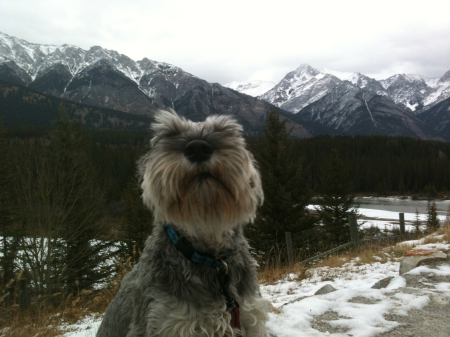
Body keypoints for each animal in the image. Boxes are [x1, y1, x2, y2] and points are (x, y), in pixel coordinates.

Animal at [96, 110, 268, 336]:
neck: (208, 256)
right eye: (170, 133)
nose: (198, 148)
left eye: (224, 130)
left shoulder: (248, 317)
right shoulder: (168, 324)